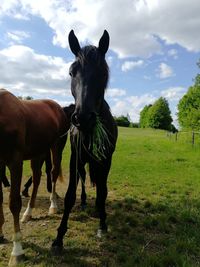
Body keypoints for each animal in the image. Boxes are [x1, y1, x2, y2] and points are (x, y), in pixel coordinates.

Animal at [0, 89, 70, 266]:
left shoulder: (15, 162)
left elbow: (14, 203)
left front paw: (17, 251)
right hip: (38, 152)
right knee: (37, 178)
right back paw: (28, 213)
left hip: (56, 147)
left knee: (53, 173)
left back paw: (53, 205)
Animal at [52, 30, 117, 252]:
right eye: (72, 73)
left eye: (103, 73)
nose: (83, 118)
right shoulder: (75, 158)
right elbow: (70, 195)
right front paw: (59, 238)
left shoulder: (105, 161)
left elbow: (103, 192)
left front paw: (103, 224)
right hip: (82, 163)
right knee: (81, 180)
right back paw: (83, 202)